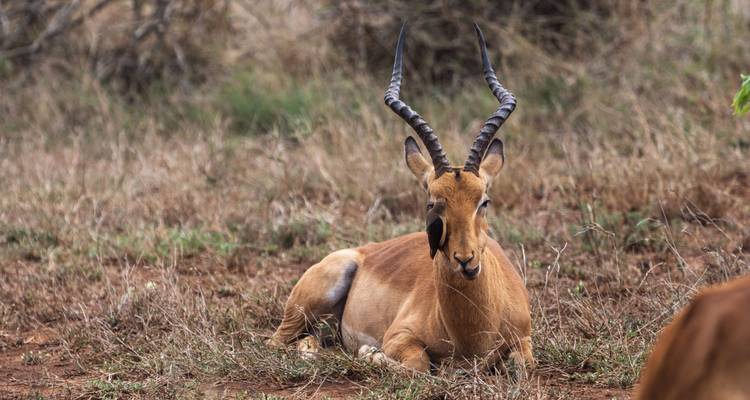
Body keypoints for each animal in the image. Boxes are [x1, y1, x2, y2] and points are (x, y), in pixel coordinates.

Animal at [268, 23, 535, 373]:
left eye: (484, 201)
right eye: (432, 203)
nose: (465, 260)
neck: (474, 332)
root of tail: (361, 252)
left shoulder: (525, 341)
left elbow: (522, 365)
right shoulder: (400, 337)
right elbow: (419, 365)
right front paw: (369, 353)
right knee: (277, 343)